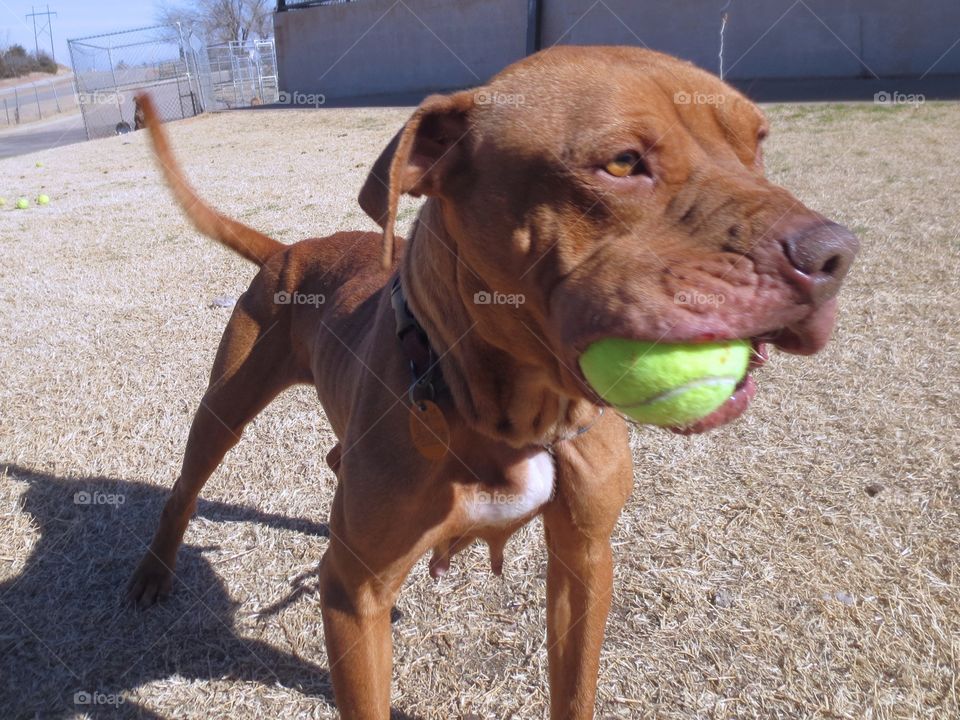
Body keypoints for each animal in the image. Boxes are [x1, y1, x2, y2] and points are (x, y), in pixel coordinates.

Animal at [125, 47, 856, 716]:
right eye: (622, 163)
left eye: (758, 145)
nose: (834, 255)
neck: (517, 410)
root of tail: (287, 251)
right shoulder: (354, 596)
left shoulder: (584, 560)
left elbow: (575, 687)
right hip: (225, 407)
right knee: (186, 488)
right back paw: (152, 573)